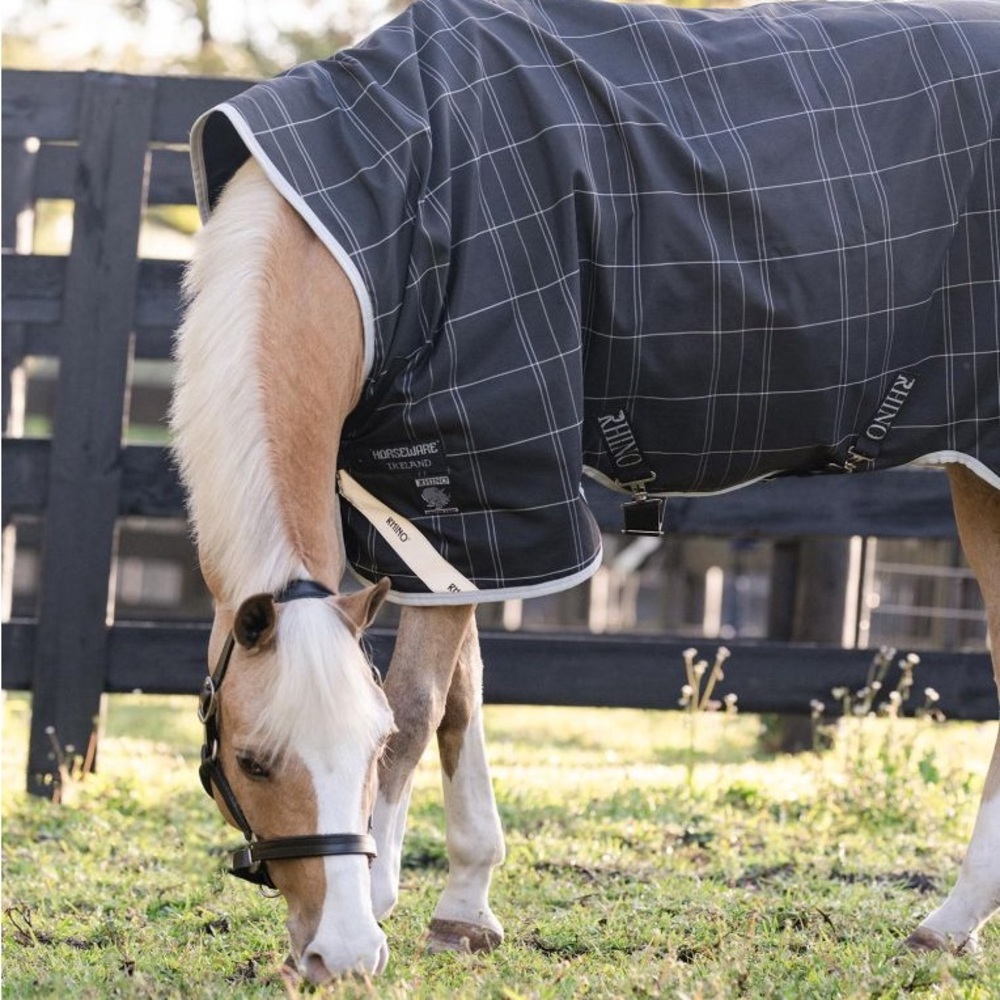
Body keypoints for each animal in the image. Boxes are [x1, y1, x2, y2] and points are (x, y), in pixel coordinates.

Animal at [171, 0, 1000, 984]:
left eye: (364, 752)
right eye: (253, 762)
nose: (340, 955)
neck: (384, 217)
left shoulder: (491, 478)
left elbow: (419, 707)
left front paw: (384, 898)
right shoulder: (442, 522)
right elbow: (462, 700)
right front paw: (465, 908)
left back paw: (951, 920)